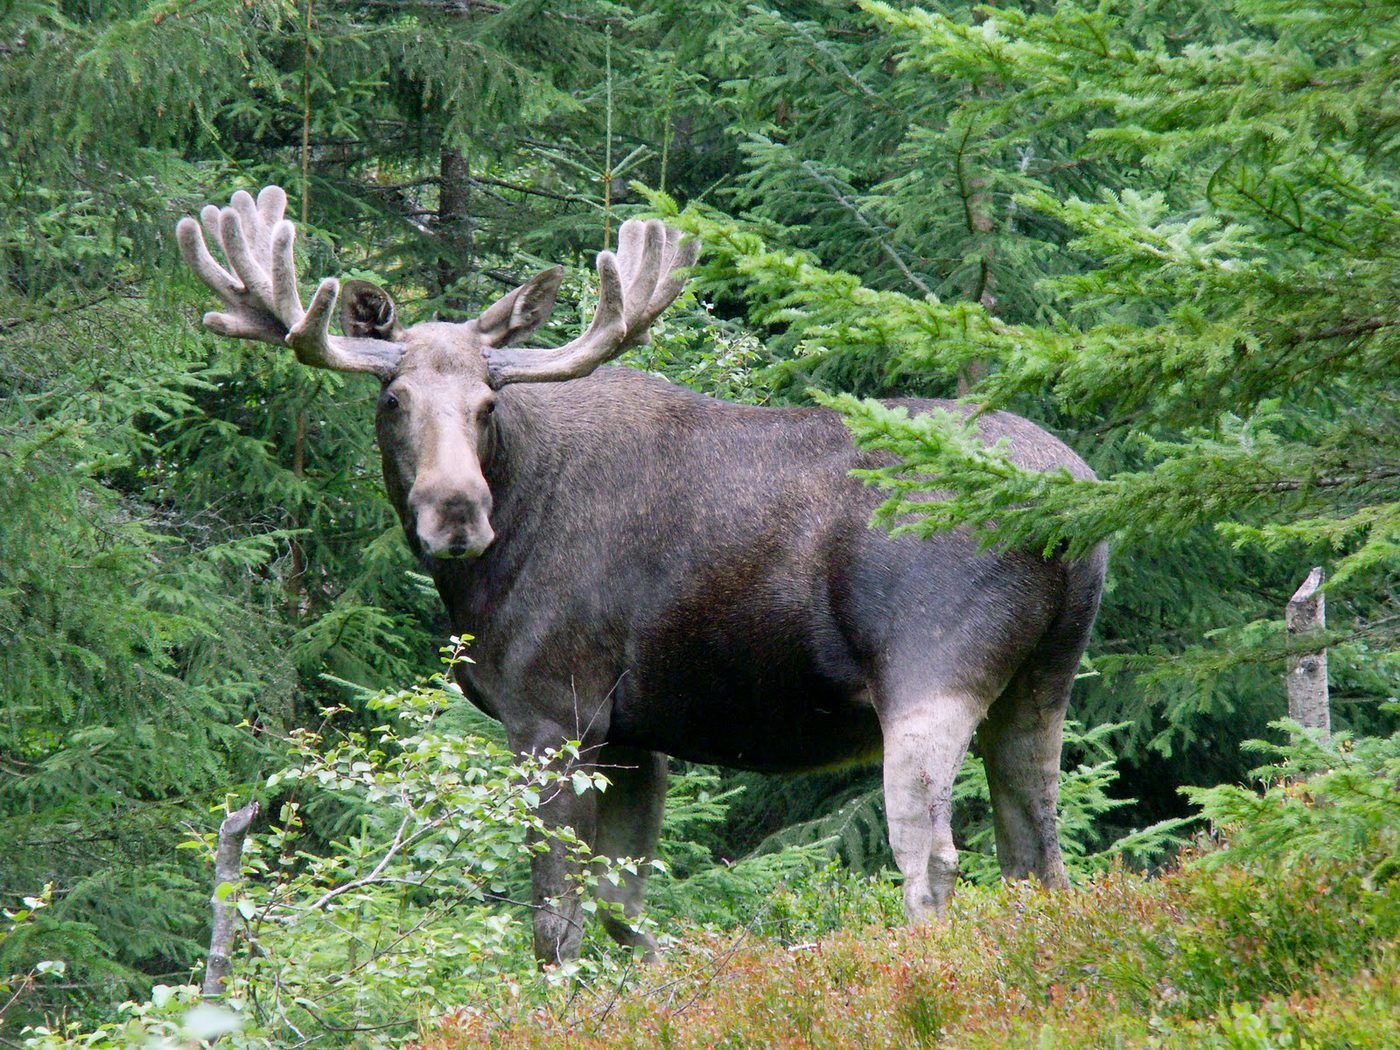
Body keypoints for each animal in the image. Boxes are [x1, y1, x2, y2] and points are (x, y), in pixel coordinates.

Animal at [177, 185, 1107, 964]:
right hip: (1044, 677)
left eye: (488, 404)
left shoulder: (554, 711)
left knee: (933, 855)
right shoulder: (632, 736)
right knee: (1039, 849)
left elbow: (554, 920)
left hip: (929, 664)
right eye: (391, 400)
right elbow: (625, 912)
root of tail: (1072, 510)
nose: (456, 512)